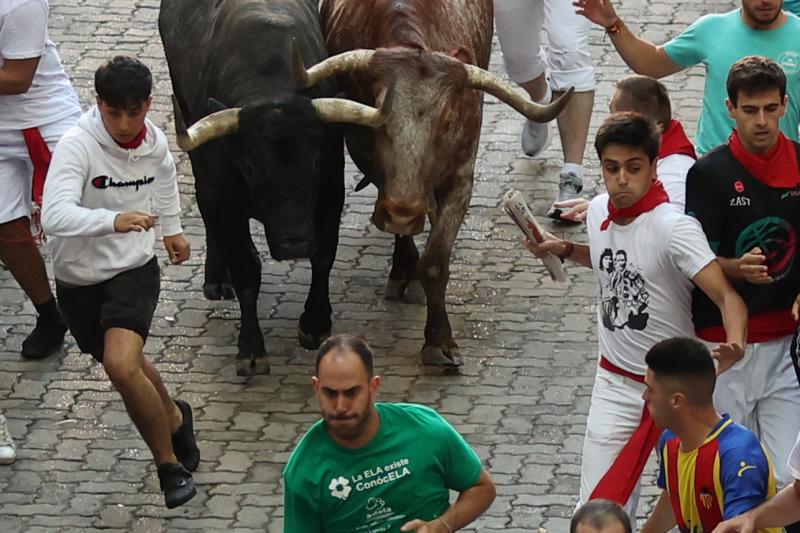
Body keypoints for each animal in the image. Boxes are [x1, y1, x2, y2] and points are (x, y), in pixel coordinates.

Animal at [159, 0, 384, 374]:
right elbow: (246, 271)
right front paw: (251, 349)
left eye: (316, 160)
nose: (293, 243)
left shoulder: (330, 192)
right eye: (250, 167)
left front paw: (315, 323)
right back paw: (216, 278)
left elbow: (324, 254)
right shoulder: (222, 197)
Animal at [304, 0, 568, 366]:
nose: (403, 211)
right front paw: (406, 268)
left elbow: (435, 262)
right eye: (378, 118)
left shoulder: (461, 177)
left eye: (448, 121)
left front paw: (440, 341)